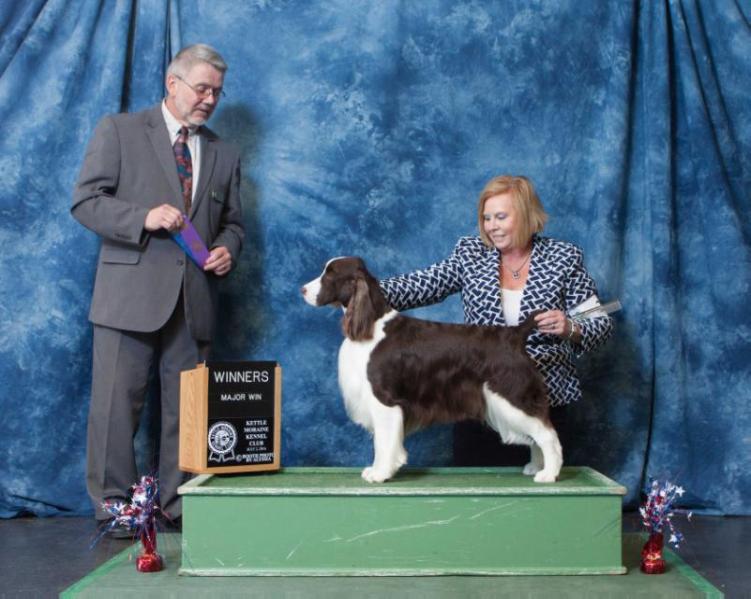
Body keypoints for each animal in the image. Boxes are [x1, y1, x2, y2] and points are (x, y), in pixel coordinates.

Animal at [302, 256, 560, 482]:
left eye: (330, 274)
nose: (302, 289)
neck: (372, 325)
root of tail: (514, 335)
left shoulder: (384, 399)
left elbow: (383, 442)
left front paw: (380, 473)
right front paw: (375, 470)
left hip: (511, 395)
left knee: (548, 434)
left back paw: (548, 474)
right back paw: (537, 466)